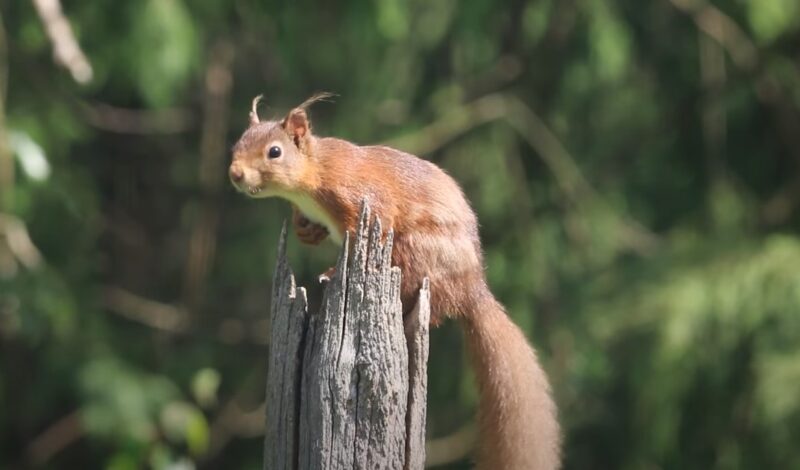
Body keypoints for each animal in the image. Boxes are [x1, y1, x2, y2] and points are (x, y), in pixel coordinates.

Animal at [228, 93, 560, 468]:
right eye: (237, 144)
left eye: (275, 152)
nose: (235, 173)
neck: (313, 176)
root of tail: (472, 288)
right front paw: (305, 231)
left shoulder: (361, 198)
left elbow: (372, 221)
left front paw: (331, 270)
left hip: (416, 251)